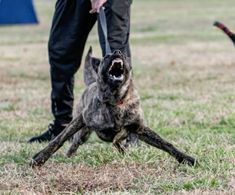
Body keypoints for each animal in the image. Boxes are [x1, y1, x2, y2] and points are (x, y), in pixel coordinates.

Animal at [30, 48, 196, 167]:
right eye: (106, 56)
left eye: (123, 55)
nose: (117, 52)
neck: (117, 100)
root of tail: (91, 83)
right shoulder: (81, 120)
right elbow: (58, 140)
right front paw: (39, 159)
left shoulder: (139, 127)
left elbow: (166, 144)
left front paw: (186, 159)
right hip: (83, 133)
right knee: (75, 143)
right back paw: (69, 155)